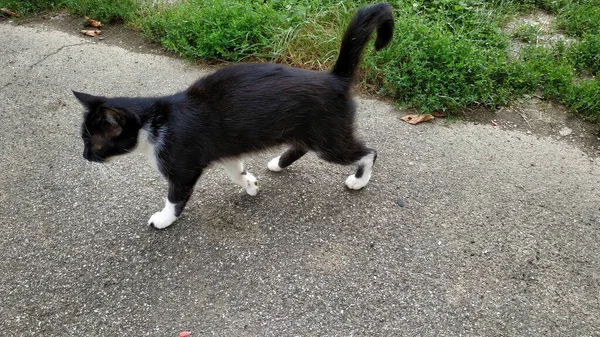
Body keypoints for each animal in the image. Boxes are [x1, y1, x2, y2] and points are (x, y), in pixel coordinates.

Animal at [75, 2, 394, 228]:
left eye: (95, 142)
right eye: (84, 139)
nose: (84, 156)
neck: (157, 121)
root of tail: (334, 78)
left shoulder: (183, 166)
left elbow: (175, 197)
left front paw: (163, 219)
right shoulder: (224, 147)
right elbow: (234, 170)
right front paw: (250, 184)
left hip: (328, 136)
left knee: (367, 151)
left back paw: (359, 179)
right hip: (311, 129)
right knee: (303, 145)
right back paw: (278, 163)